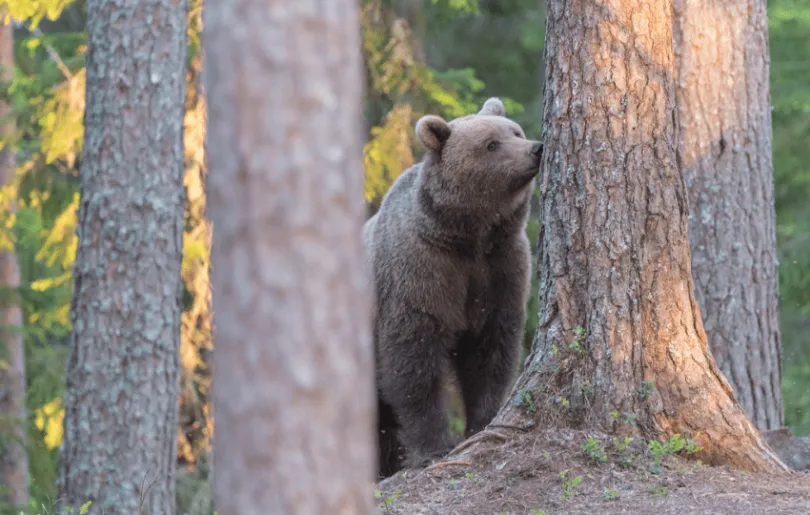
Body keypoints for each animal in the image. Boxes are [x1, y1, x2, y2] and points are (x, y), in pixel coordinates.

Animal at [362, 98, 540, 480]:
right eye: (491, 144)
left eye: (515, 132)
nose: (536, 148)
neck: (467, 237)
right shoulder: (421, 273)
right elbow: (414, 362)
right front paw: (433, 447)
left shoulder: (500, 270)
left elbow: (490, 354)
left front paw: (482, 423)